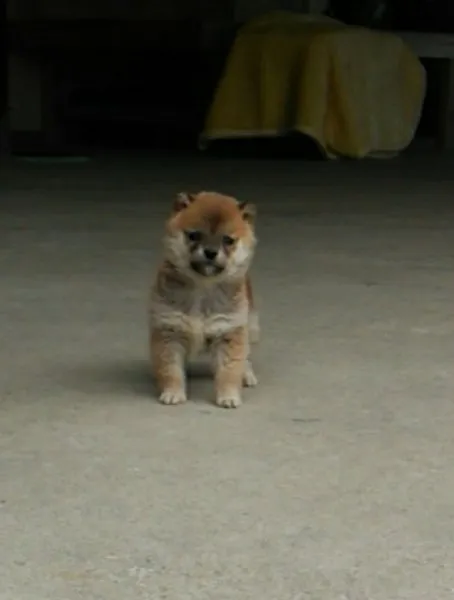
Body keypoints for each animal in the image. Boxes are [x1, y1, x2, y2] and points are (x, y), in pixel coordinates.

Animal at [150, 192, 258, 408]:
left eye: (228, 240)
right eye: (194, 235)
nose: (210, 252)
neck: (202, 286)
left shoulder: (229, 331)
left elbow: (229, 370)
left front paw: (229, 396)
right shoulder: (169, 332)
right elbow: (171, 369)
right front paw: (173, 392)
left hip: (250, 326)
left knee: (247, 354)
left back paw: (247, 374)